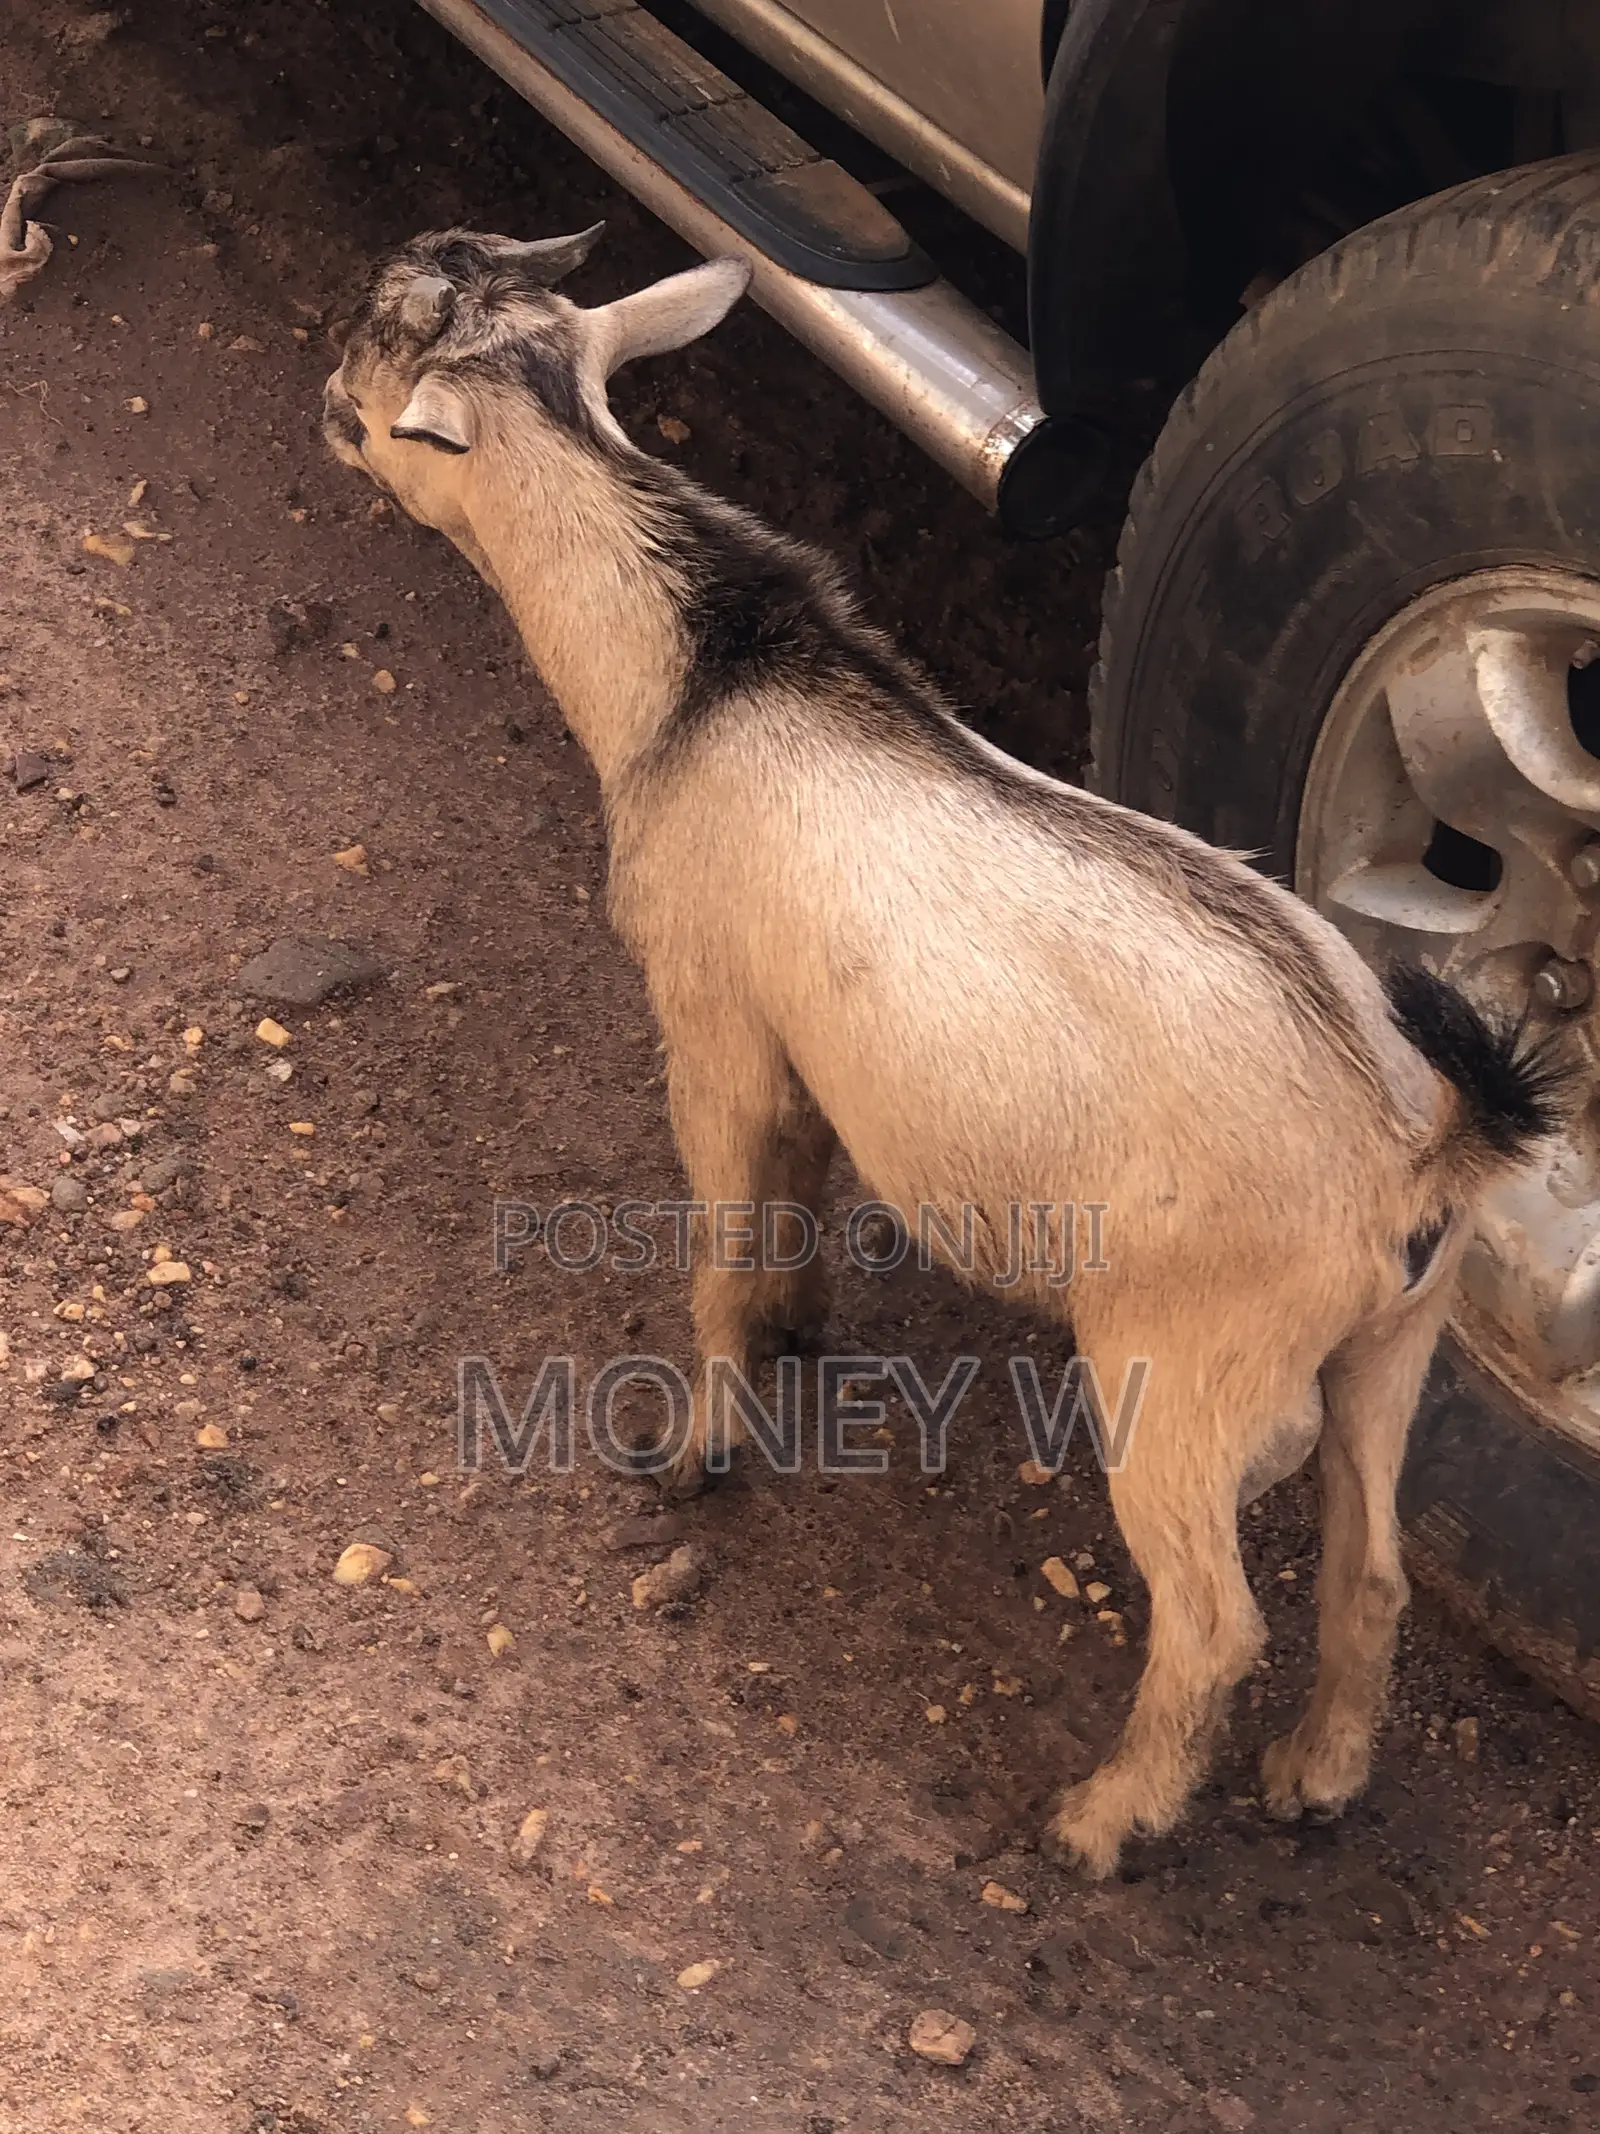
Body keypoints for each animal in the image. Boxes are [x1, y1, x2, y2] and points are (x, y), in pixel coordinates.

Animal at [323, 225, 1565, 1877]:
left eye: (384, 373)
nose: (322, 392)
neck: (704, 677)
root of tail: (1416, 1142)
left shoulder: (711, 1018)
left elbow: (721, 1235)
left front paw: (699, 1447)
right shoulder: (808, 1042)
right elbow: (798, 1190)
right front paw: (799, 1326)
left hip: (1181, 1360)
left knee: (1215, 1616)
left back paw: (1105, 1818)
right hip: (1394, 1342)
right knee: (1370, 1566)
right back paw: (1314, 1775)